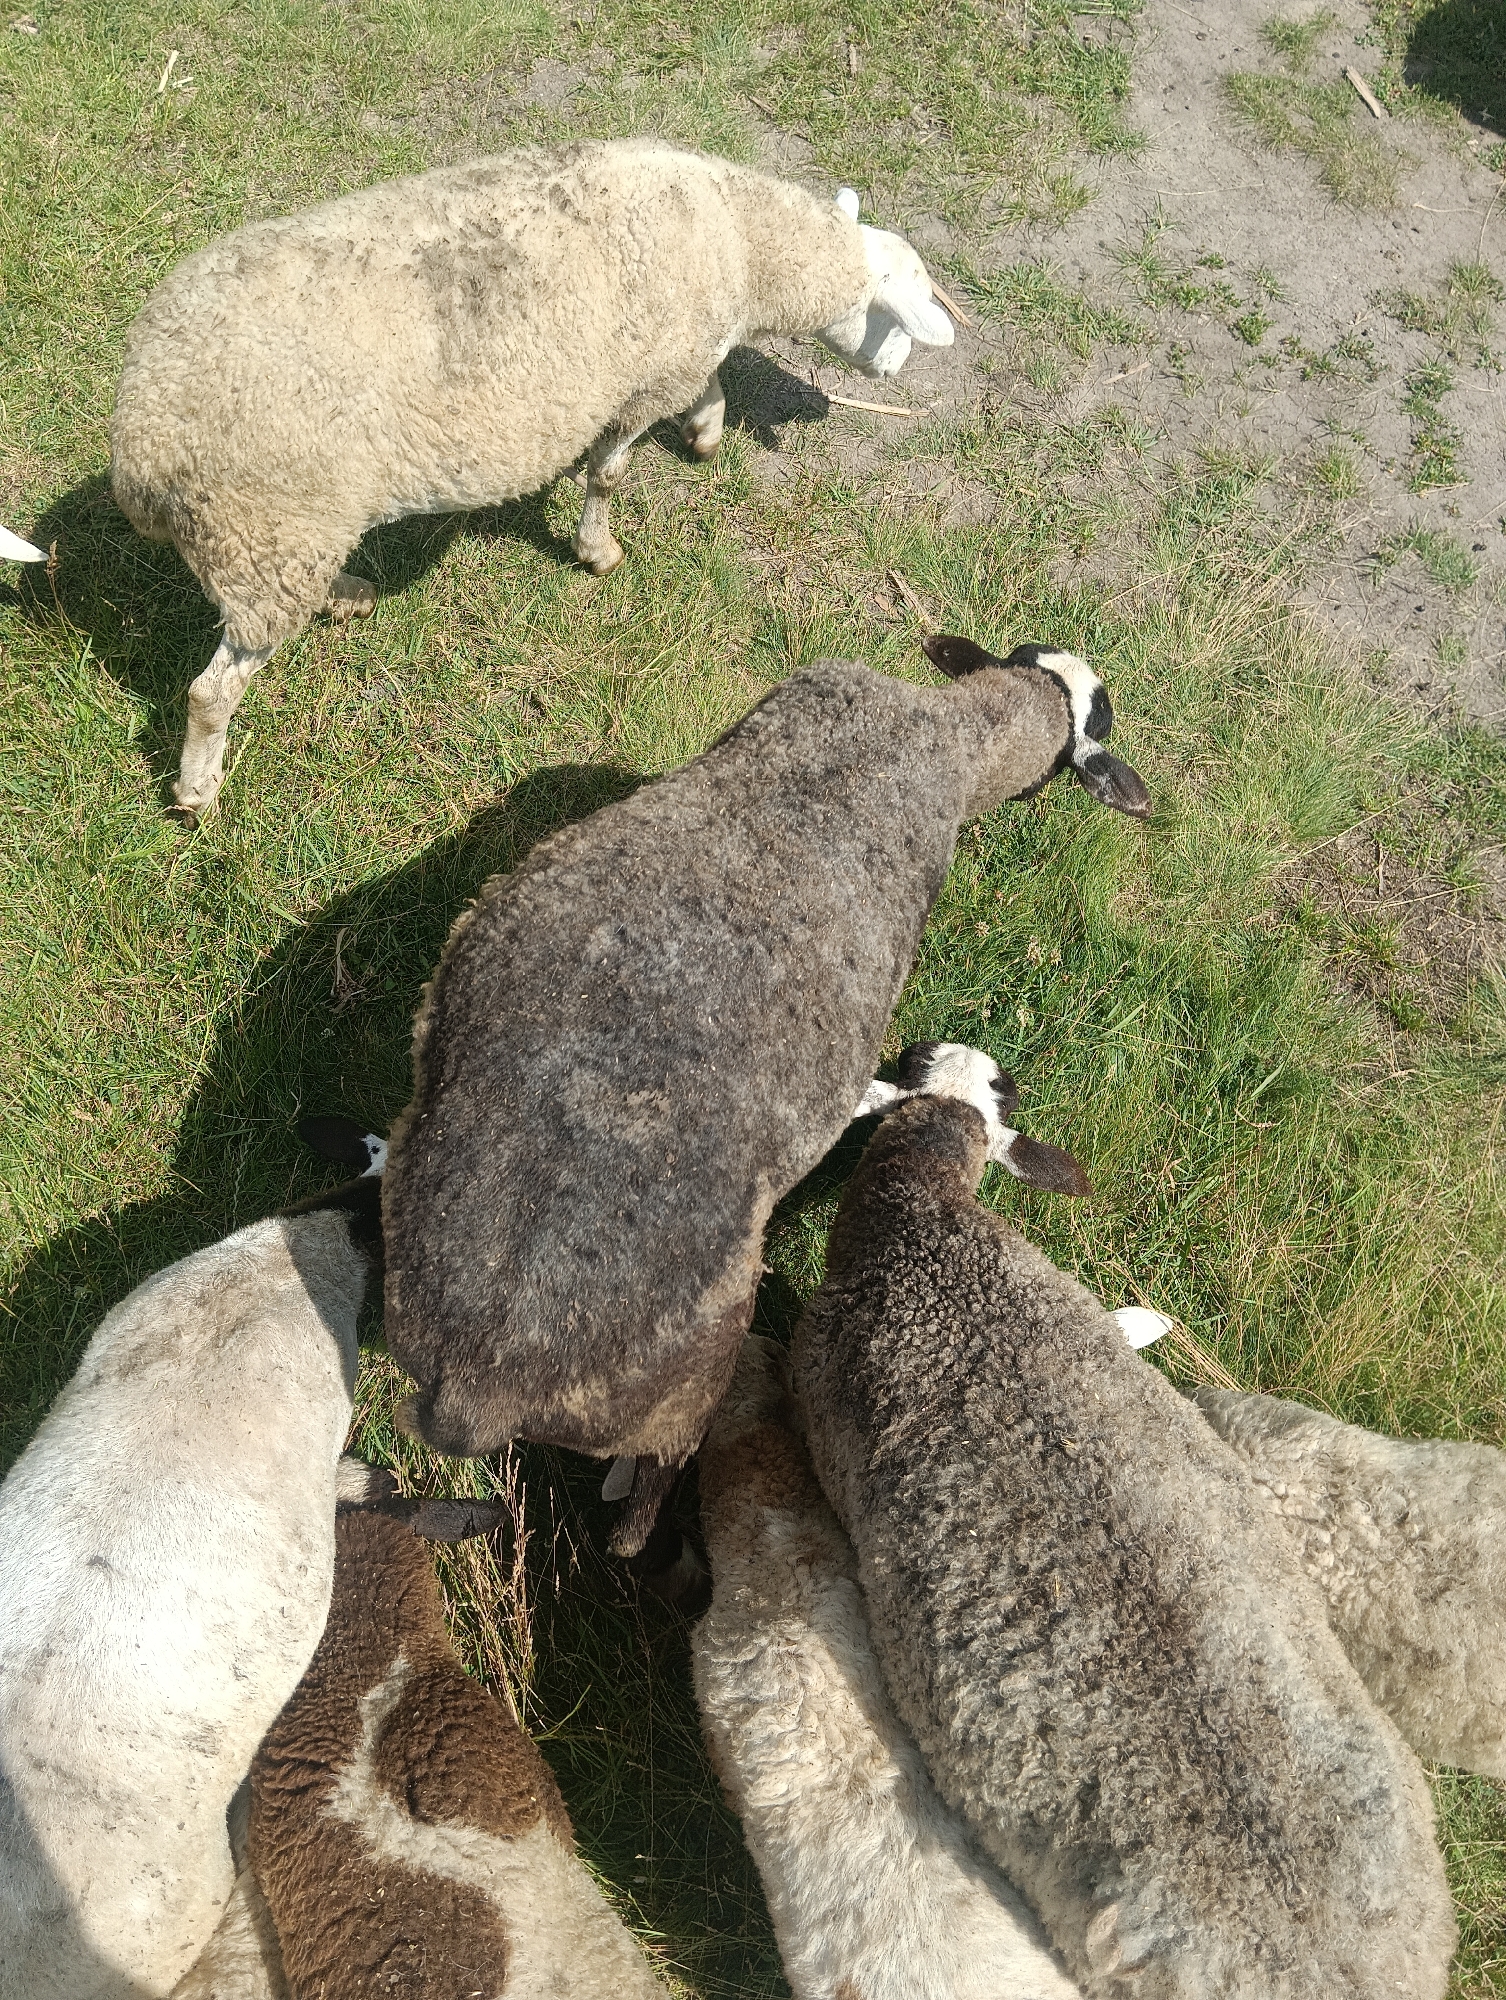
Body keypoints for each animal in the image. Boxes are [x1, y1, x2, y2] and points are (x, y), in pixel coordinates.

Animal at [108, 140, 954, 819]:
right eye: (898, 308)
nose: (894, 370)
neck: (743, 242)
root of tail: (141, 440)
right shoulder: (639, 385)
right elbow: (608, 474)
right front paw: (598, 551)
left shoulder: (676, 360)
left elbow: (710, 386)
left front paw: (707, 432)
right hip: (266, 528)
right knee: (211, 691)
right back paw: (197, 792)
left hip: (278, 539)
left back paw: (347, 594)